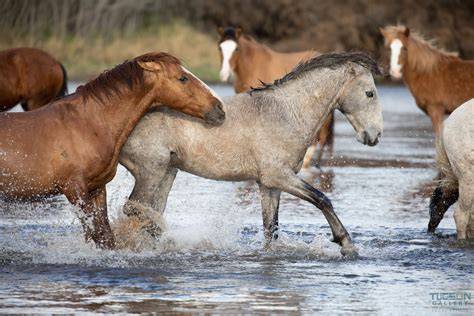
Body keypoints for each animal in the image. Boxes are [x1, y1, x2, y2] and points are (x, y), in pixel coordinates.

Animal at [0, 51, 224, 249]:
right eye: (183, 78)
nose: (219, 108)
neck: (86, 124)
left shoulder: (97, 188)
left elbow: (104, 237)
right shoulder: (74, 189)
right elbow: (95, 233)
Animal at [120, 52, 384, 256]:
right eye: (370, 93)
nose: (375, 135)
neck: (287, 113)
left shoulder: (269, 186)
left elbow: (271, 229)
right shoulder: (278, 176)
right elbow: (322, 199)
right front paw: (346, 244)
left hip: (167, 173)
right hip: (151, 172)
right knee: (134, 210)